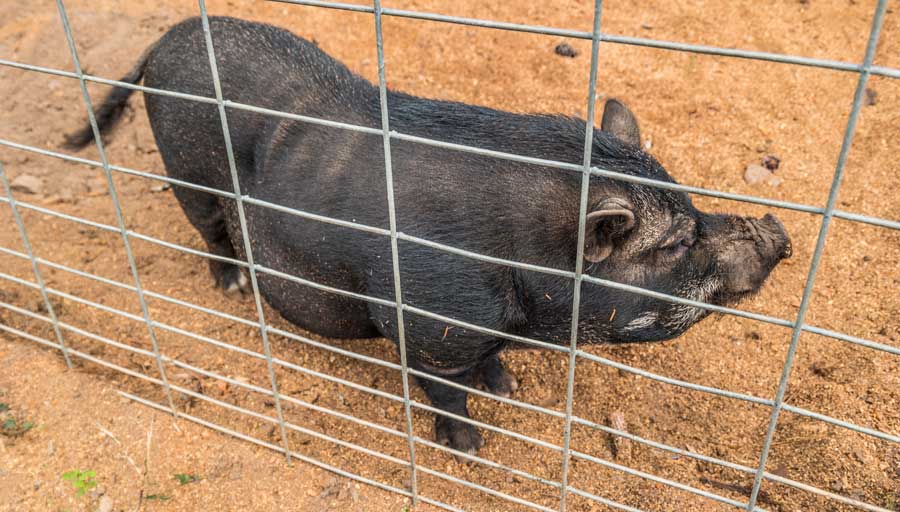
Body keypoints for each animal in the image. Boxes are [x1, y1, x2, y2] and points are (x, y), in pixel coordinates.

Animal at [67, 17, 792, 456]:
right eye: (673, 245)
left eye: (693, 210)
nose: (777, 230)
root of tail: (167, 38)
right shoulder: (426, 325)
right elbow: (445, 387)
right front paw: (468, 447)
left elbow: (487, 366)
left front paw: (507, 387)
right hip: (185, 165)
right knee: (212, 229)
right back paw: (232, 285)